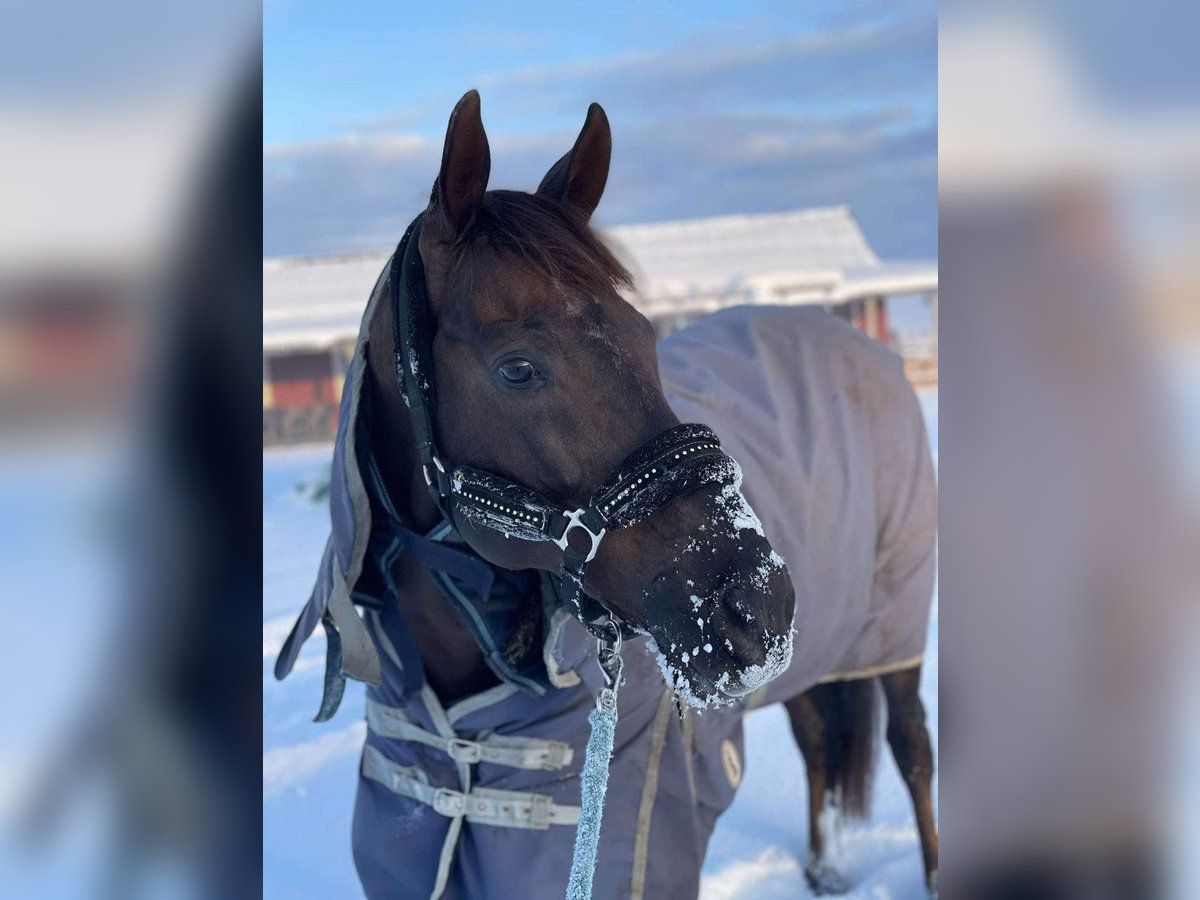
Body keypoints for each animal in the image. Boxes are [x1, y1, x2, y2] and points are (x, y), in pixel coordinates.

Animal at [274, 88, 936, 897]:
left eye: (647, 336)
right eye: (518, 368)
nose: (760, 606)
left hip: (893, 628)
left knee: (913, 750)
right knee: (818, 738)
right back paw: (825, 866)